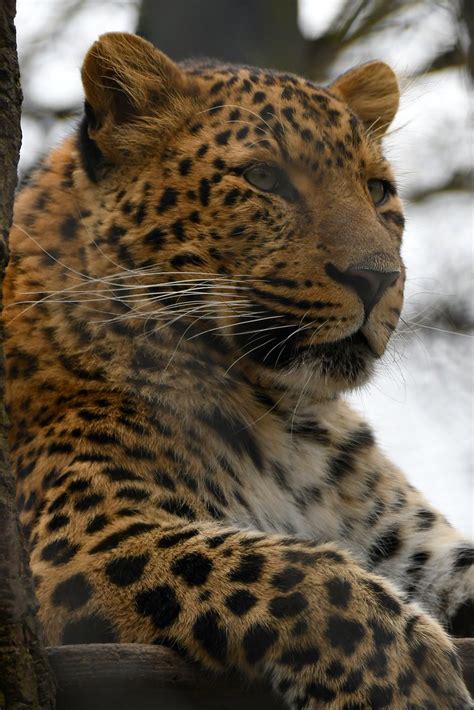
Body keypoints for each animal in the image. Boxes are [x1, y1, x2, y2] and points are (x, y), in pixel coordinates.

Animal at [4, 30, 474, 708]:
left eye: (378, 190)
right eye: (264, 177)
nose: (377, 277)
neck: (290, 419)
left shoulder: (412, 548)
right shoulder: (79, 540)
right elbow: (293, 570)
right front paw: (409, 681)